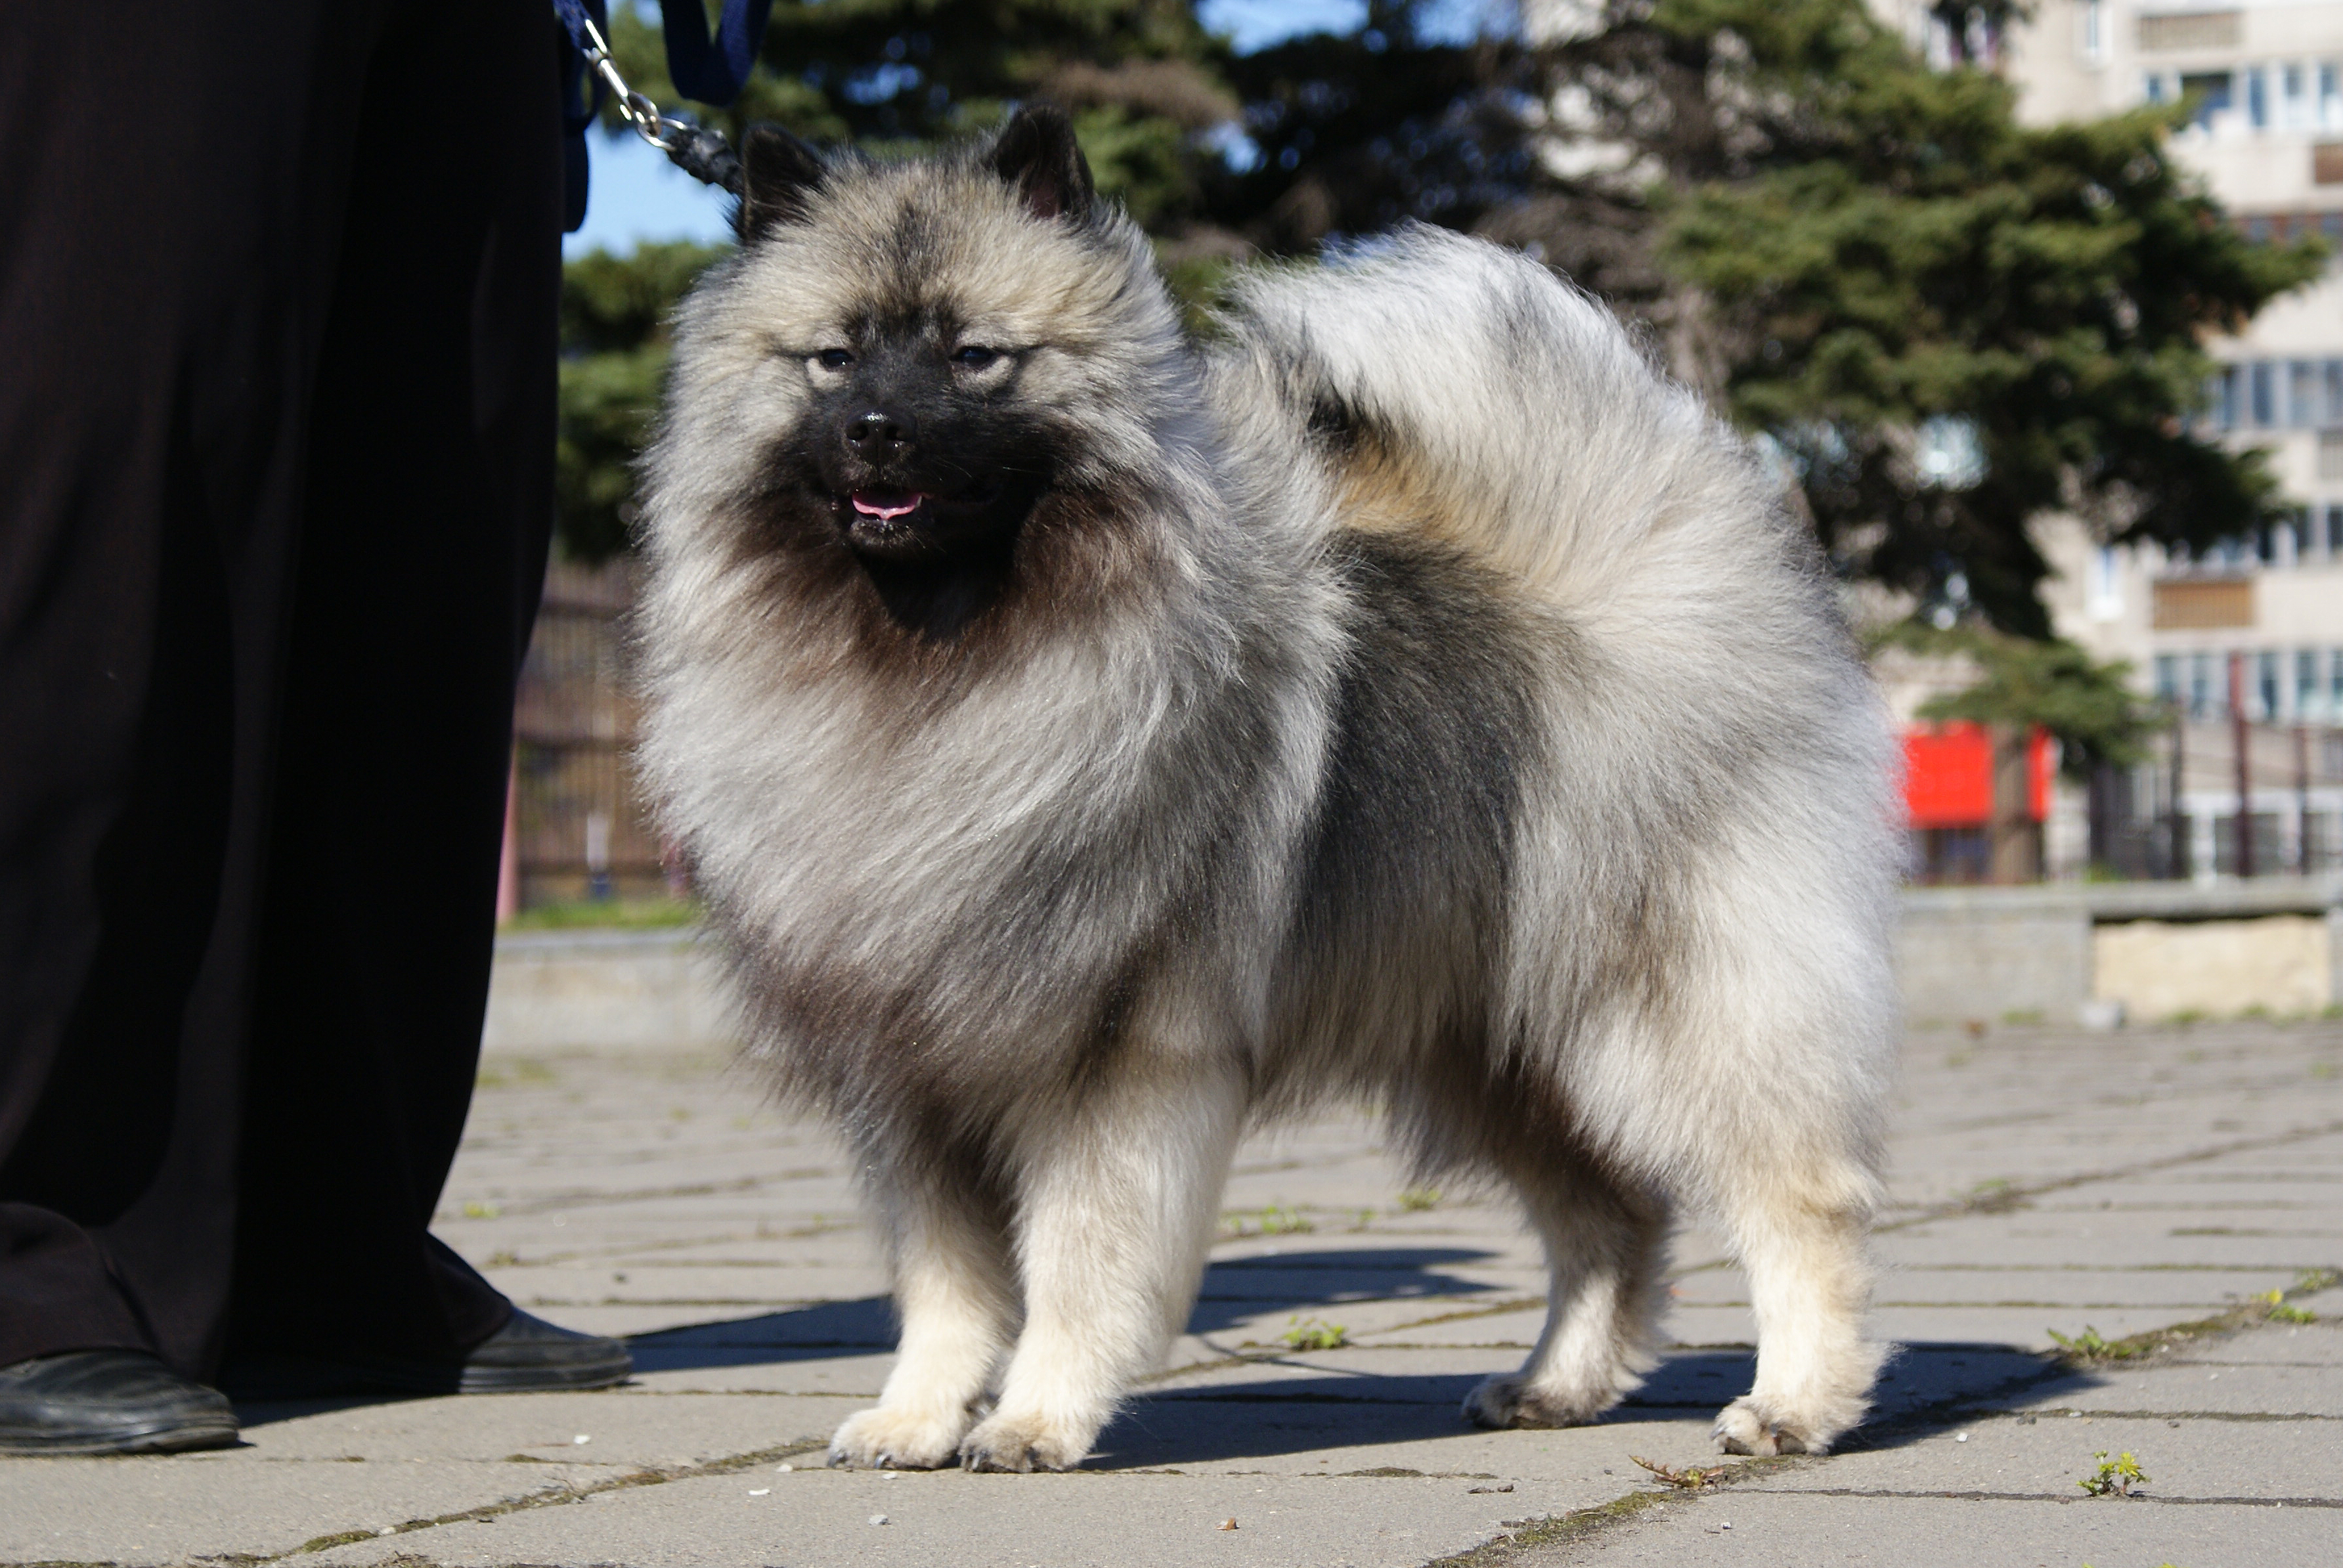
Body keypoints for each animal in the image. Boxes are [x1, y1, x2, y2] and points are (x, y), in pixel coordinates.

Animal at [642, 107, 1902, 1471]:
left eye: (976, 358)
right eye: (831, 361)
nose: (877, 426)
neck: (938, 658)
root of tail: (1669, 543)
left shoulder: (1113, 1054)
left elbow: (1076, 1258)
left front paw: (1034, 1416)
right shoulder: (912, 1071)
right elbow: (946, 1279)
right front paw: (917, 1414)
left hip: (1662, 1000)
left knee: (1795, 1195)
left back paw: (1794, 1402)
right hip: (1497, 1038)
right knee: (1609, 1215)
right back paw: (1554, 1384)